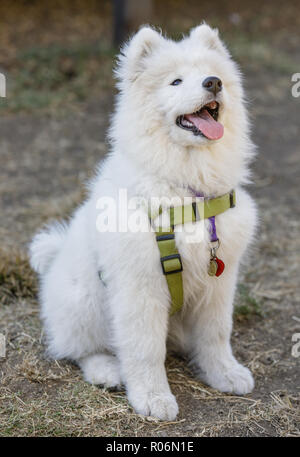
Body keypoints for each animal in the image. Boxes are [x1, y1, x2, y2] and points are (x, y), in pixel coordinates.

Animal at [29, 23, 258, 418]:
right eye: (176, 81)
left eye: (211, 75)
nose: (213, 83)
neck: (187, 190)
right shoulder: (140, 286)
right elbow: (144, 349)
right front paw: (153, 398)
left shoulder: (218, 281)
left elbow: (216, 334)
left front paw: (225, 374)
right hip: (84, 301)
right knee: (79, 349)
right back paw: (106, 369)